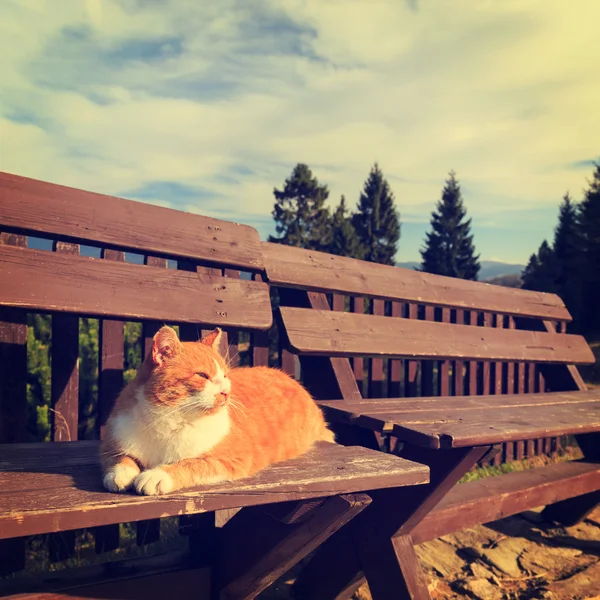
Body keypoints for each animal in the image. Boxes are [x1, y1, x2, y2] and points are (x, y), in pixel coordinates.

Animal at [98, 326, 332, 494]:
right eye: (202, 375)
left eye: (225, 376)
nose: (225, 392)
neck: (169, 419)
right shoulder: (112, 441)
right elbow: (120, 458)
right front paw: (122, 474)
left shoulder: (233, 458)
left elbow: (191, 464)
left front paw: (158, 475)